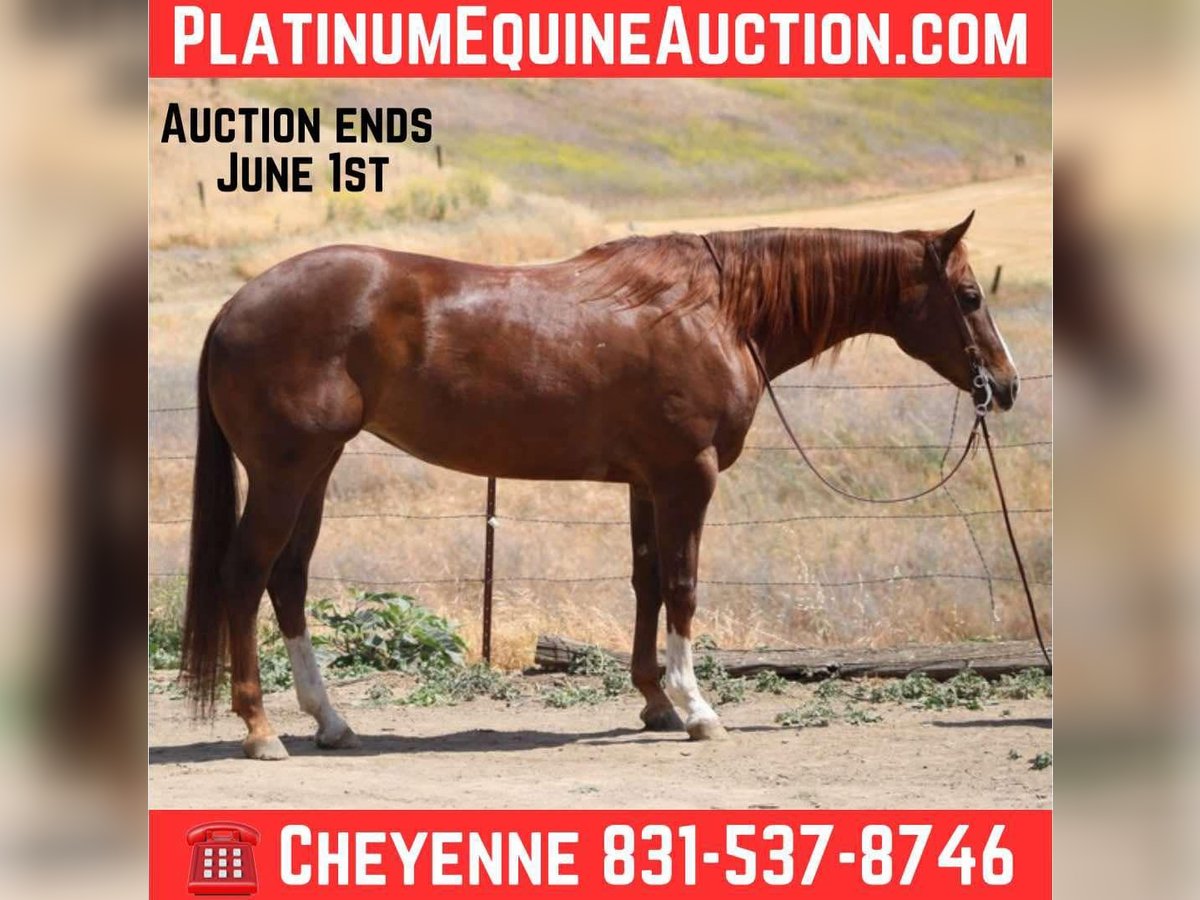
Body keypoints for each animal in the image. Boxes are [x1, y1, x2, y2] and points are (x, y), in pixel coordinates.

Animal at [180, 212, 1019, 760]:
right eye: (970, 296)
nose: (1005, 386)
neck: (719, 311)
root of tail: (231, 308)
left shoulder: (648, 483)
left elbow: (646, 581)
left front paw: (654, 700)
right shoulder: (688, 477)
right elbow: (682, 585)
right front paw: (697, 708)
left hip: (316, 469)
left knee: (288, 579)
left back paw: (329, 721)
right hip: (286, 471)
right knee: (246, 576)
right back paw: (260, 731)